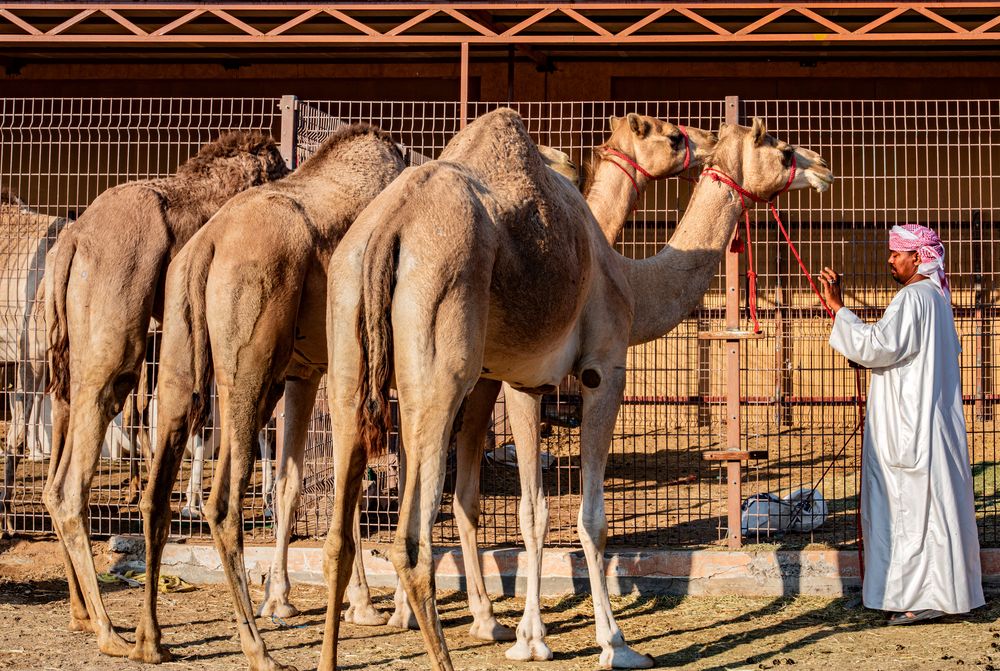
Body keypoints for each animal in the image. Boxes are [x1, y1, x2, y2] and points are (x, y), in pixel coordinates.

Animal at [41, 131, 288, 656]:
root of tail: (71, 241)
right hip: (114, 344)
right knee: (72, 481)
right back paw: (110, 633)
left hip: (66, 362)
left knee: (56, 472)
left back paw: (81, 616)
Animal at [320, 111, 828, 671]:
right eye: (783, 150)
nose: (822, 166)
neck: (629, 279)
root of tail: (388, 229)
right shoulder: (603, 370)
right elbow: (591, 518)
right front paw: (616, 644)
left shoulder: (525, 383)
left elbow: (532, 512)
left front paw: (530, 639)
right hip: (440, 366)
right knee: (411, 542)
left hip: (348, 353)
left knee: (340, 536)